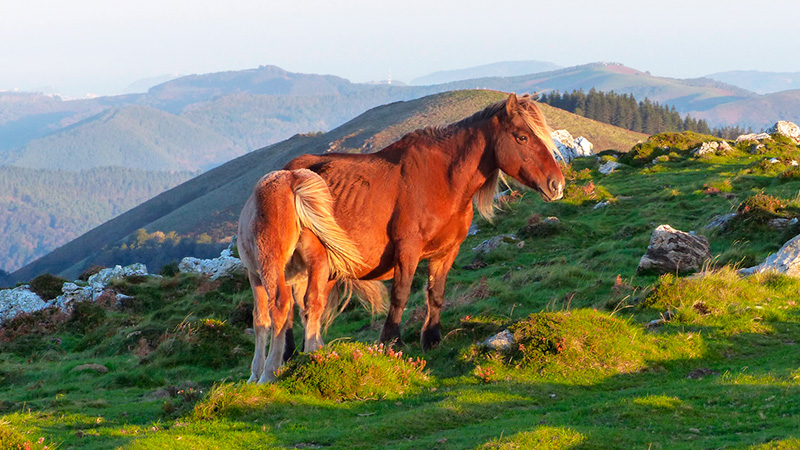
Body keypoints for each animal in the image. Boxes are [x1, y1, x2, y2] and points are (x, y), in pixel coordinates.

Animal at [238, 93, 565, 383]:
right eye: (522, 137)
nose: (556, 184)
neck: (442, 180)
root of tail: (288, 173)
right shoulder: (408, 249)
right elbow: (401, 294)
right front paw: (390, 341)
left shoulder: (447, 252)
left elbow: (436, 293)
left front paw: (431, 338)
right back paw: (285, 358)